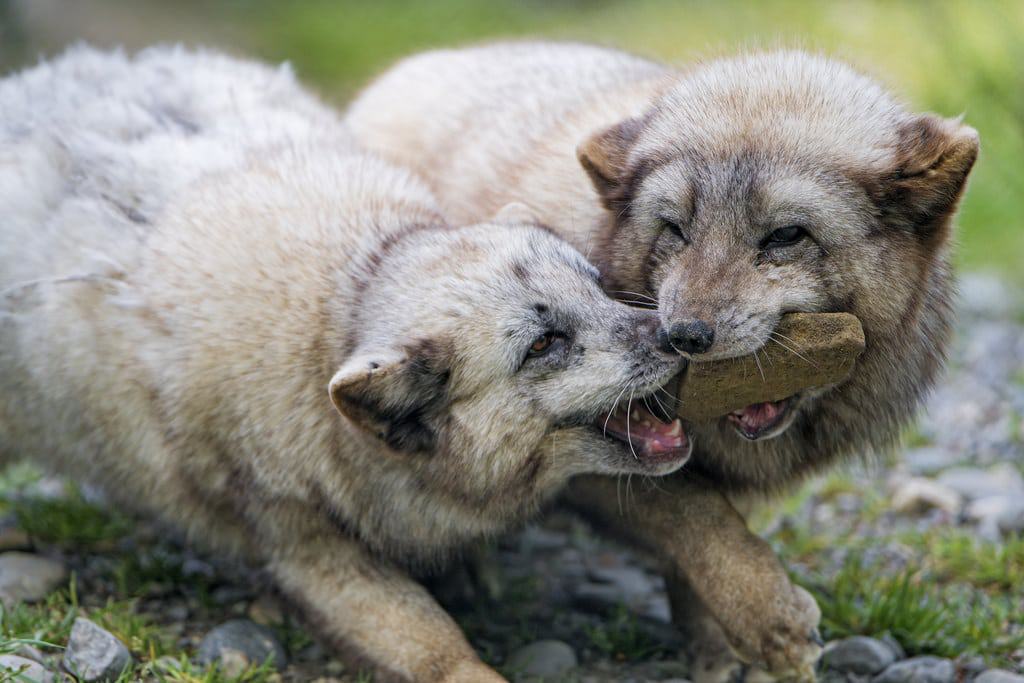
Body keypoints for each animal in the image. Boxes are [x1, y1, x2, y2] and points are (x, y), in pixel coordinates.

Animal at [0, 48, 692, 683]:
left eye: (596, 284)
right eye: (544, 344)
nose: (676, 338)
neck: (342, 305)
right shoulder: (299, 542)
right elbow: (433, 643)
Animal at [348, 41, 978, 679]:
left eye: (785, 236)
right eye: (675, 228)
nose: (683, 336)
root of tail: (416, 64)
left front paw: (715, 647)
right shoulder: (589, 463)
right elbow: (695, 515)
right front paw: (770, 620)